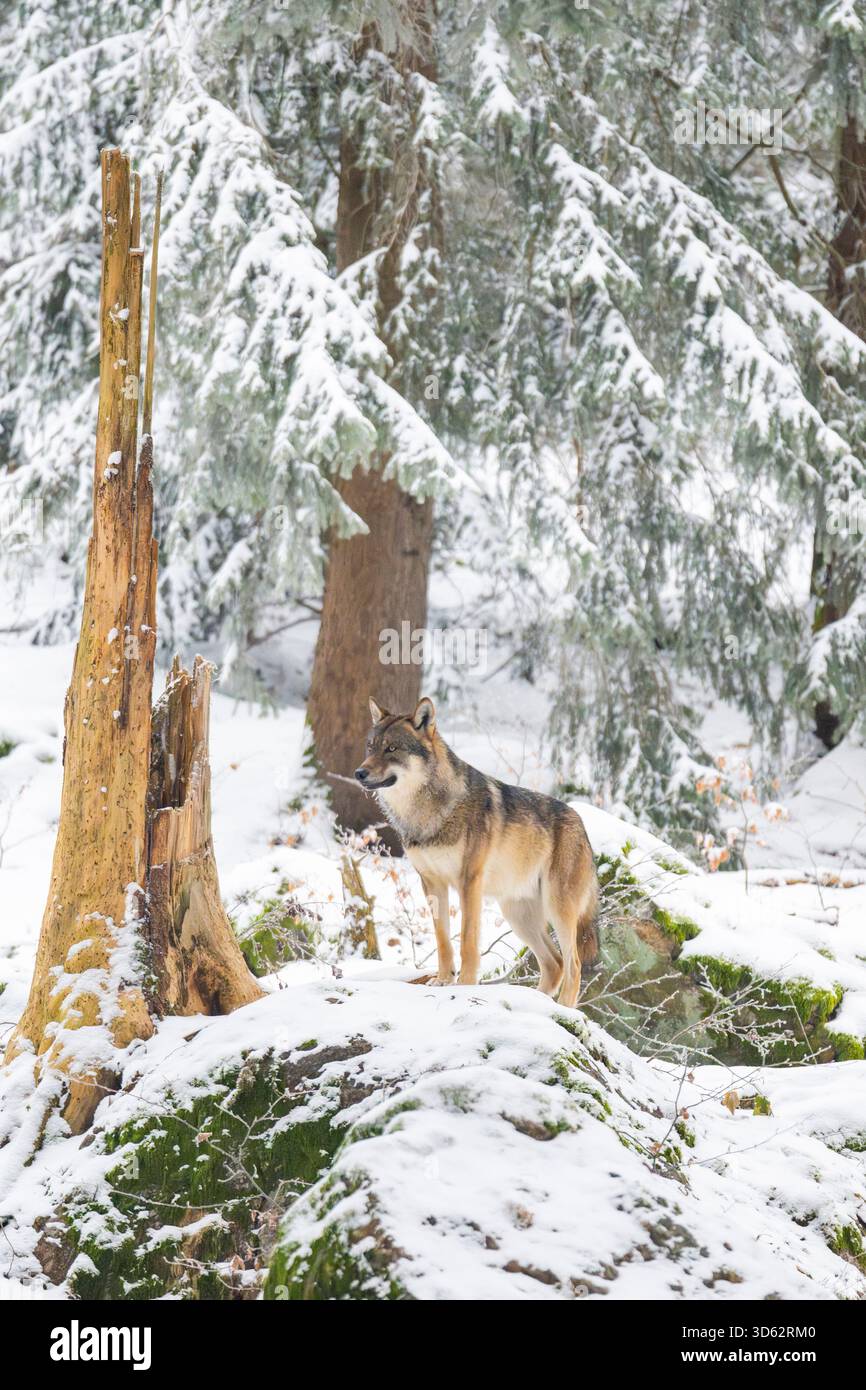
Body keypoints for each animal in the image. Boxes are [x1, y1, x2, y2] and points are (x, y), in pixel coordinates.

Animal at [355, 697, 599, 1007]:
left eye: (392, 749)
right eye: (371, 747)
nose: (359, 772)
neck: (426, 813)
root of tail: (582, 825)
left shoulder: (468, 882)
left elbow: (468, 941)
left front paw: (466, 985)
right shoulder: (432, 884)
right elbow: (443, 939)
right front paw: (443, 980)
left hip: (557, 910)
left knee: (573, 965)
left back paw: (565, 1008)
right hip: (518, 916)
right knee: (554, 964)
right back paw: (534, 1004)